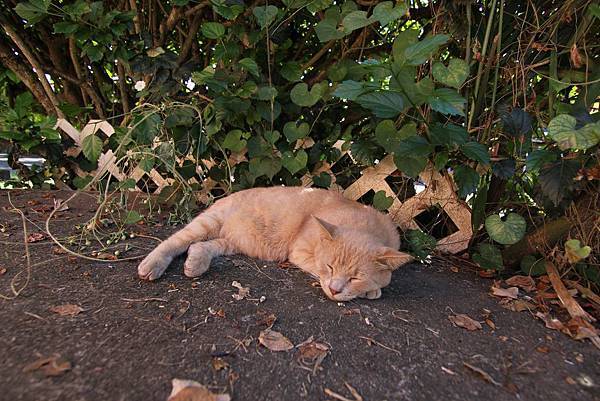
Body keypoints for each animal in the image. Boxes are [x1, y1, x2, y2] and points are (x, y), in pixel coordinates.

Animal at [139, 187, 412, 300]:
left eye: (355, 277)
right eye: (330, 267)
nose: (335, 290)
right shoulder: (300, 254)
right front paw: (369, 291)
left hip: (231, 242)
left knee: (198, 247)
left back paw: (195, 264)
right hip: (207, 223)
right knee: (175, 241)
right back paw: (152, 264)